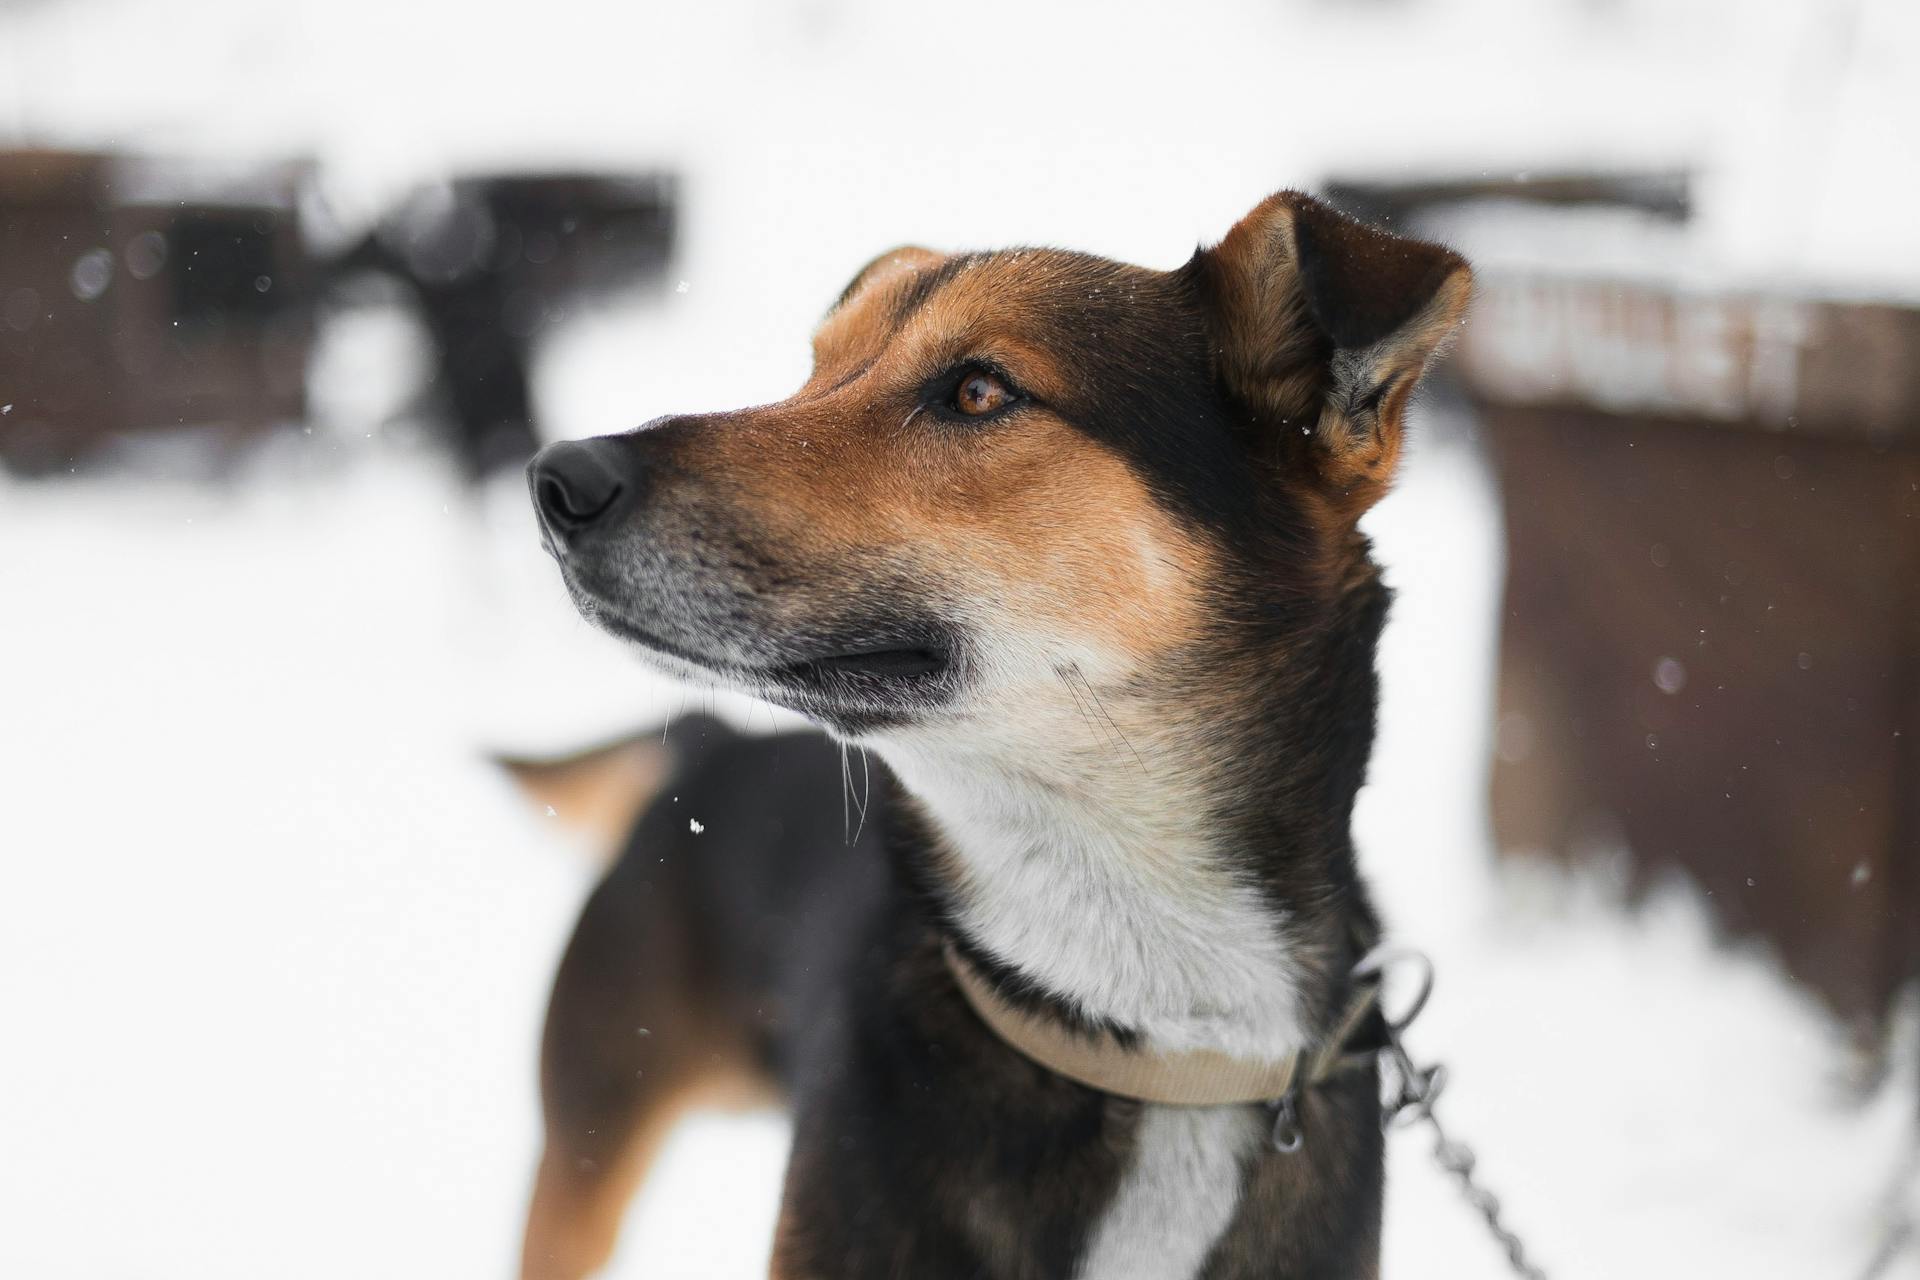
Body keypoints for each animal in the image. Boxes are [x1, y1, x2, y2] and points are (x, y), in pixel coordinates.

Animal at [522, 192, 1466, 1280]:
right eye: (815, 370)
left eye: (978, 391)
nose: (557, 478)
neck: (1146, 1036)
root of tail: (709, 742)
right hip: (587, 1140)